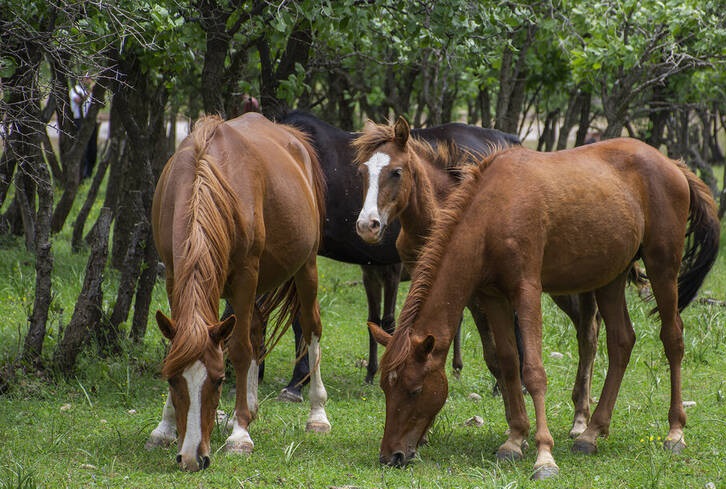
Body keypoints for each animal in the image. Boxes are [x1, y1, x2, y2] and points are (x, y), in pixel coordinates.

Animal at [146, 112, 332, 470]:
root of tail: (294, 139)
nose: (192, 457)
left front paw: (240, 437)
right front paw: (164, 427)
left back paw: (316, 415)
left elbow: (241, 350)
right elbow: (179, 346)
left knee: (310, 327)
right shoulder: (174, 275)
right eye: (172, 379)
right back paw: (245, 411)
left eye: (219, 380)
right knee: (257, 329)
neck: (206, 178)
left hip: (305, 268)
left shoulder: (247, 275)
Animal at [358, 117, 604, 434]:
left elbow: (494, 354)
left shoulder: (475, 295)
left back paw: (580, 419)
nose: (368, 225)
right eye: (362, 171)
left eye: (396, 172)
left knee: (588, 334)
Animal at [370, 135, 724, 478]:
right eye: (386, 389)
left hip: (662, 266)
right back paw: (592, 432)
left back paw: (674, 432)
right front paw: (515, 439)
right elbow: (508, 362)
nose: (391, 456)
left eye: (414, 390)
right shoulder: (492, 296)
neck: (494, 212)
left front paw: (544, 456)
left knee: (672, 339)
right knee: (621, 342)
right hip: (611, 277)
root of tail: (673, 165)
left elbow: (534, 371)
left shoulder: (527, 290)